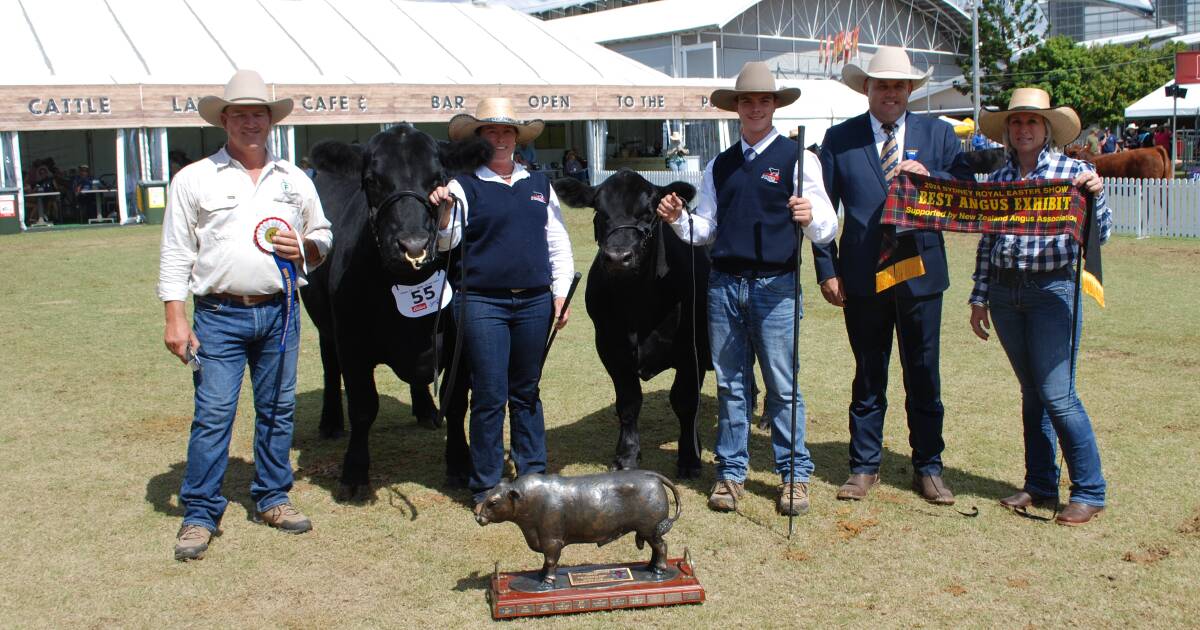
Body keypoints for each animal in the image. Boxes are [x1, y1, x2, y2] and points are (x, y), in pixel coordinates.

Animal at [302, 124, 489, 496]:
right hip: (326, 325)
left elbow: (457, 402)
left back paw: (426, 410)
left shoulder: (460, 343)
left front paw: (460, 465)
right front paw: (354, 474)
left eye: (438, 178)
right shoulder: (352, 341)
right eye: (372, 180)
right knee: (330, 366)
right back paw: (330, 421)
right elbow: (363, 407)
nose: (413, 246)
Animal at [554, 170, 710, 477]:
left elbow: (685, 402)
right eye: (599, 212)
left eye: (649, 212)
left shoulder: (692, 349)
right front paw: (626, 456)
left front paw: (689, 458)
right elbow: (628, 402)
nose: (618, 257)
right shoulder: (610, 346)